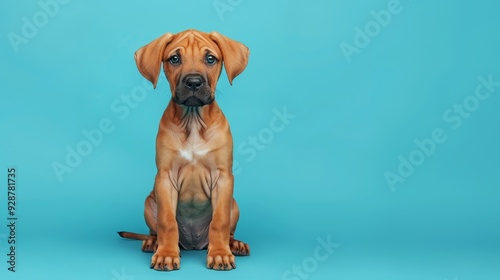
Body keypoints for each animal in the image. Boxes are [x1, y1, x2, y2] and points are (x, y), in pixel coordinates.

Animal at [117, 29, 250, 272]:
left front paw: (220, 254)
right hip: (149, 202)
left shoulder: (223, 178)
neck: (193, 121)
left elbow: (220, 222)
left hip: (234, 204)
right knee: (155, 230)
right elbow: (167, 222)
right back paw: (153, 243)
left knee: (228, 230)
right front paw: (166, 255)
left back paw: (234, 244)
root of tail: (193, 245)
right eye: (175, 59)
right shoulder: (165, 178)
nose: (193, 82)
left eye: (210, 59)